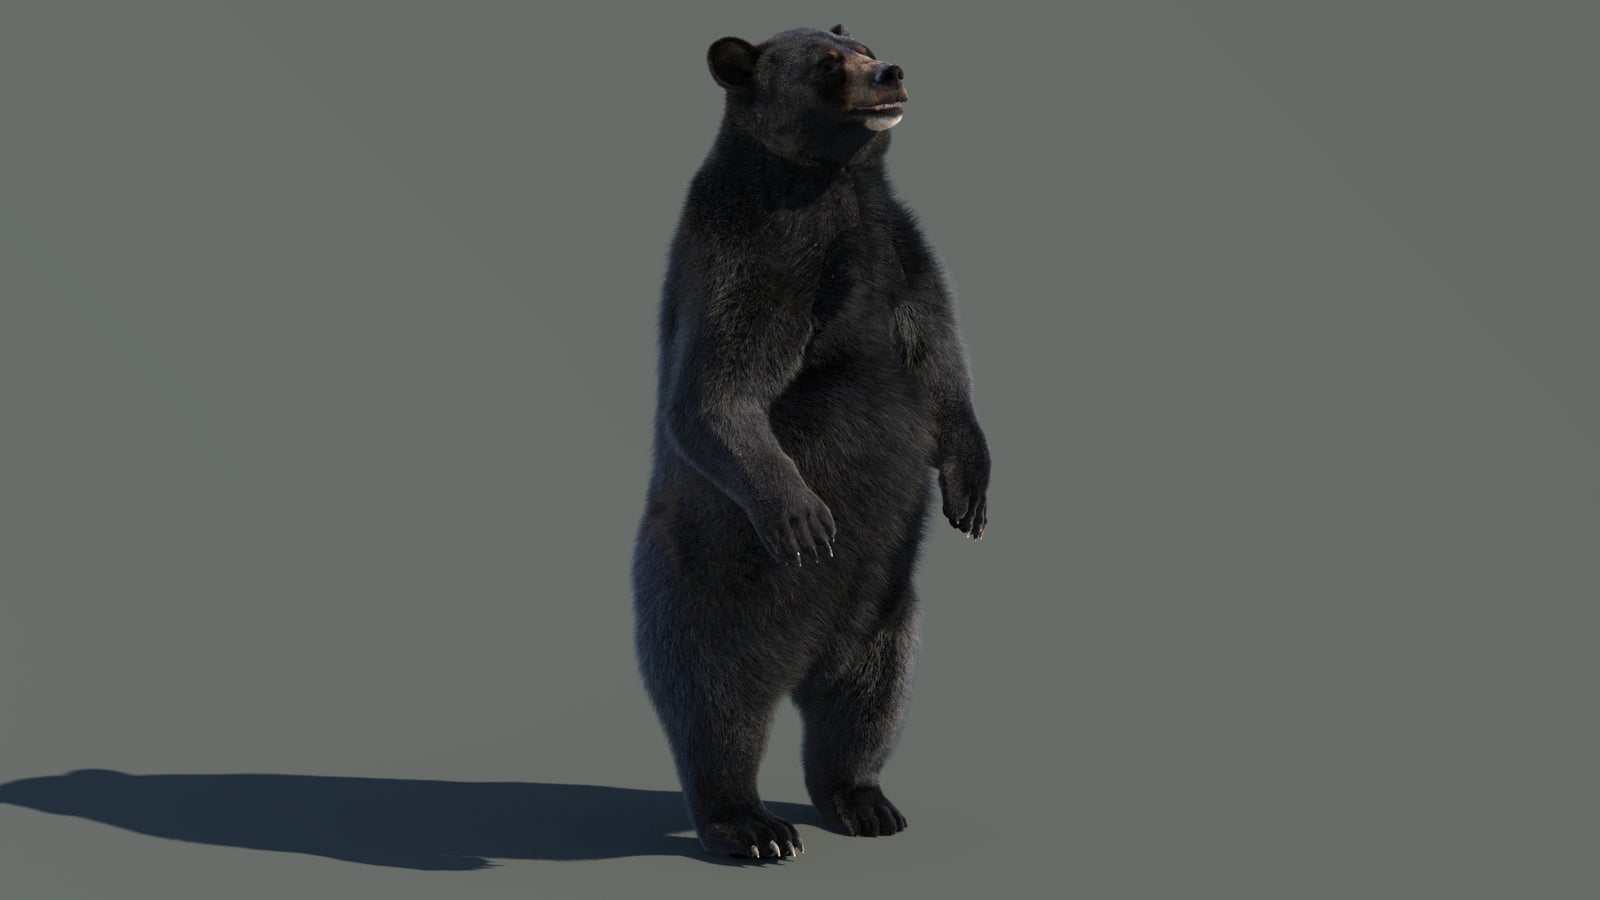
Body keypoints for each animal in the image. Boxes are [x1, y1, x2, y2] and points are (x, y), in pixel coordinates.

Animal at [631, 24, 990, 860]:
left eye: (863, 42)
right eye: (829, 64)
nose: (890, 72)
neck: (833, 185)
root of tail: (801, 660)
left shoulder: (900, 251)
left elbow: (941, 364)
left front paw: (970, 493)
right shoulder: (758, 250)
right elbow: (716, 392)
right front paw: (804, 516)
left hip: (888, 610)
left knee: (866, 700)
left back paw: (865, 801)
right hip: (708, 589)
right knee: (717, 703)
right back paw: (752, 825)